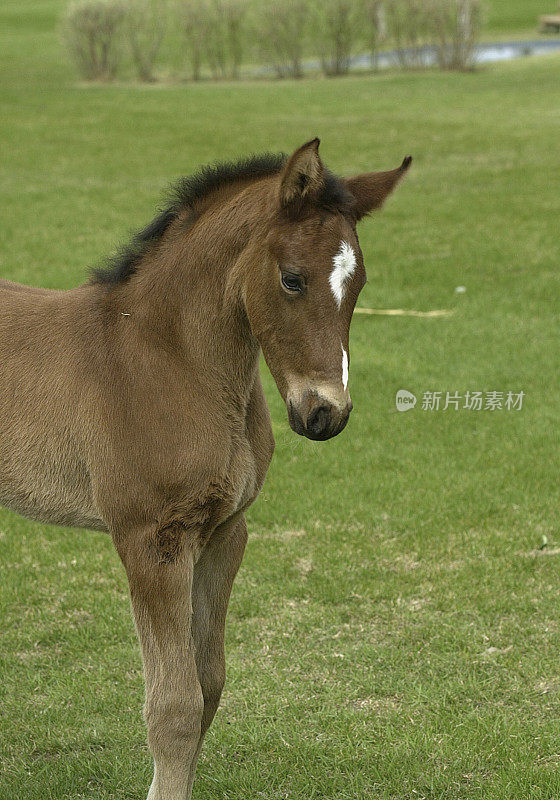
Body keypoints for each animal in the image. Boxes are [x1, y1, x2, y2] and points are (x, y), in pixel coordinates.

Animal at [0, 141, 412, 796]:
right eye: (291, 279)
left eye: (360, 282)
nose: (326, 413)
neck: (166, 357)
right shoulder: (152, 541)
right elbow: (174, 705)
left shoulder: (223, 531)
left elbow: (209, 683)